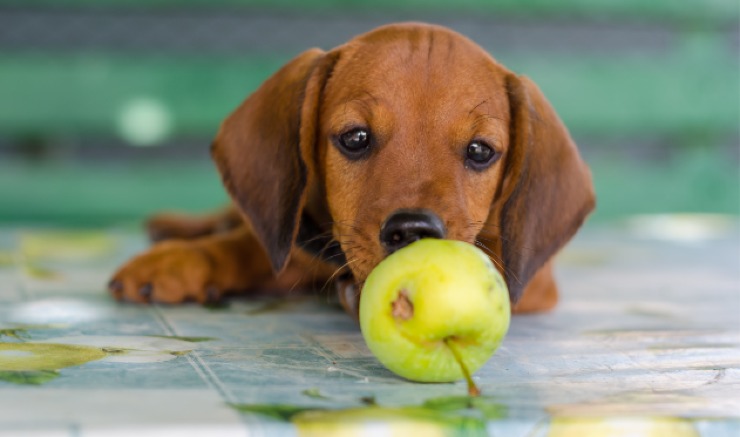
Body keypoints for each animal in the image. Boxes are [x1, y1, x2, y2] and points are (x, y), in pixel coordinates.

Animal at [108, 23, 596, 316]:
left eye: (480, 151)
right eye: (355, 138)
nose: (413, 231)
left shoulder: (534, 282)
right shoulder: (297, 239)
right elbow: (245, 246)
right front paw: (180, 262)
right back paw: (175, 229)